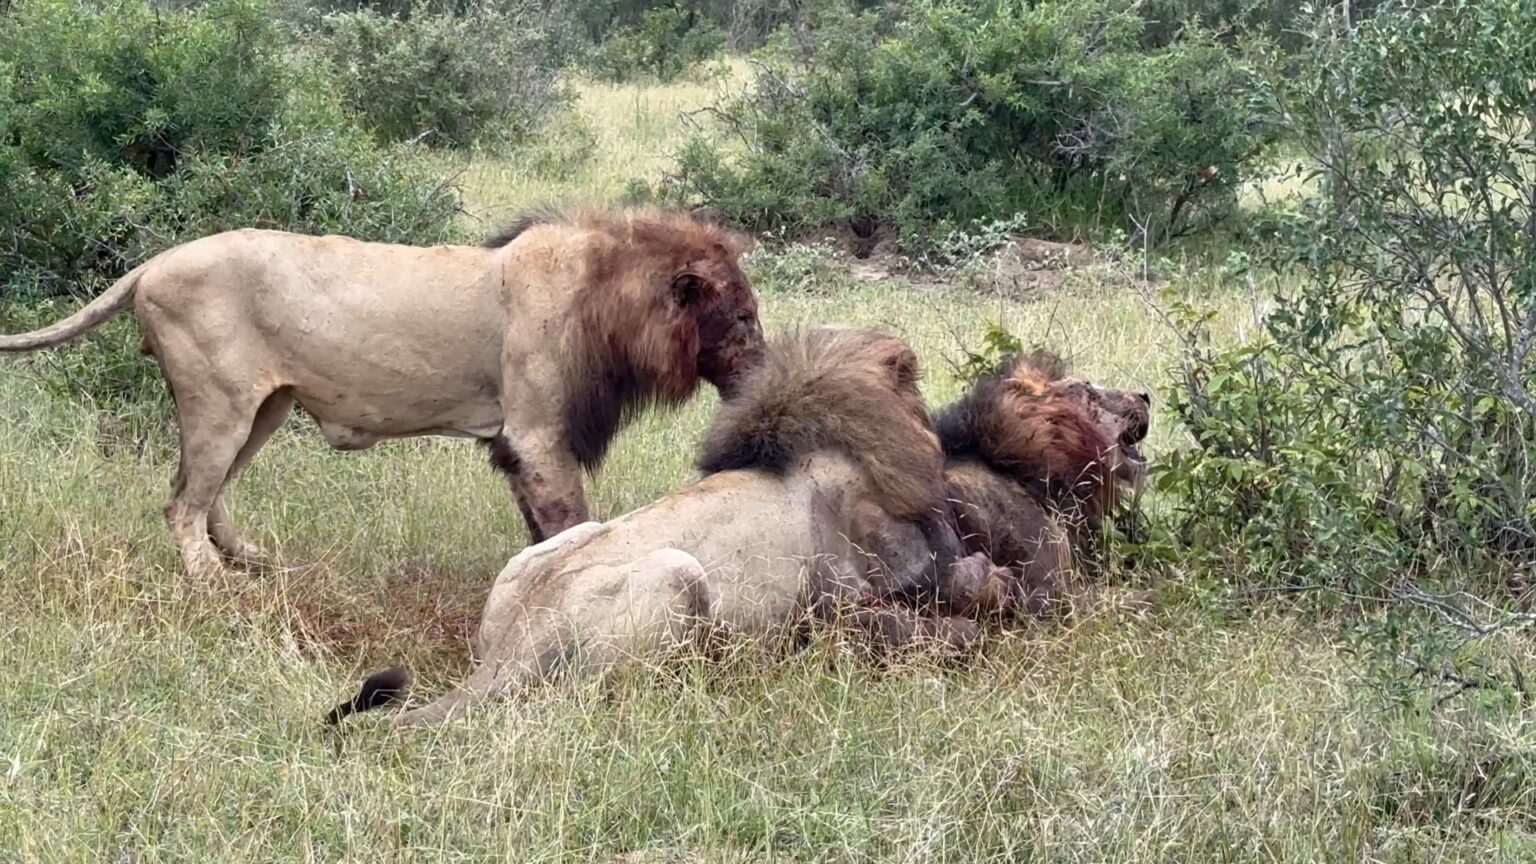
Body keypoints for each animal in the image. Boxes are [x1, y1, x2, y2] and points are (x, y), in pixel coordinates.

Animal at [0, 208, 765, 579]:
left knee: (202, 491)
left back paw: (251, 561)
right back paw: (210, 582)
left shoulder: (513, 444)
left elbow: (538, 525)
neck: (609, 303)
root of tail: (151, 264)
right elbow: (572, 523)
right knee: (181, 502)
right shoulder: (538, 434)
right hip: (220, 402)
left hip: (262, 407)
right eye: (744, 317)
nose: (763, 367)